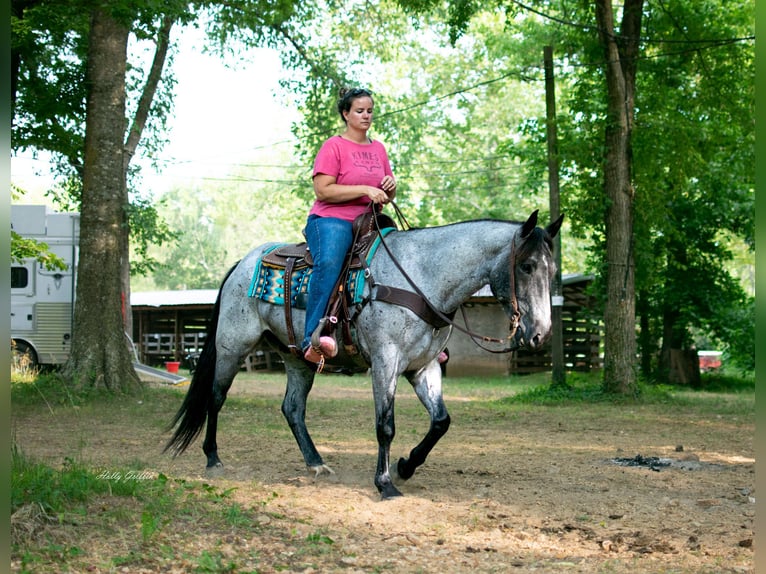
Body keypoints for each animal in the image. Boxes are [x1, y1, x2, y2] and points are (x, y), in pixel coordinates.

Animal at [166, 210, 564, 500]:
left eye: (553, 270)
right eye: (527, 266)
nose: (541, 333)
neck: (422, 276)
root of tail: (240, 265)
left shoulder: (423, 367)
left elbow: (441, 421)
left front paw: (405, 466)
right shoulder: (385, 361)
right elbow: (385, 425)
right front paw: (385, 483)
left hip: (297, 358)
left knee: (292, 408)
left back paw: (316, 464)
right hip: (232, 347)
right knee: (216, 398)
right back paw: (213, 459)